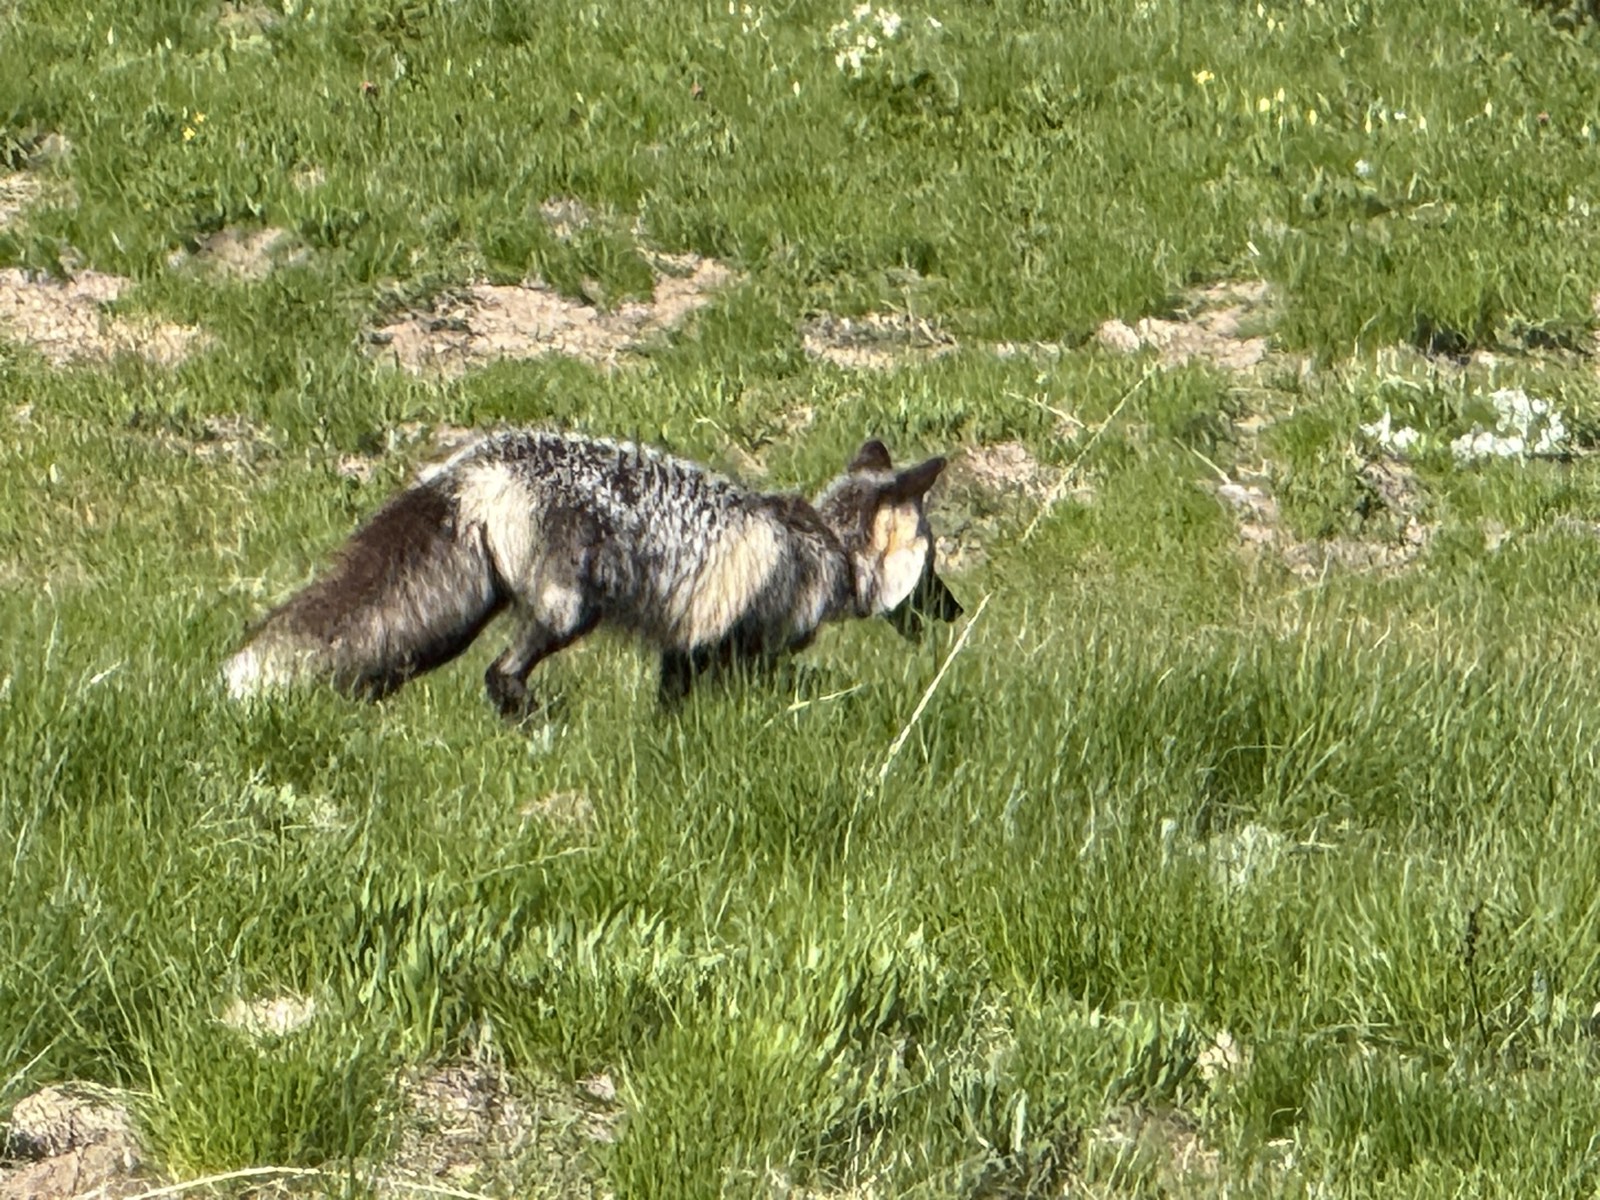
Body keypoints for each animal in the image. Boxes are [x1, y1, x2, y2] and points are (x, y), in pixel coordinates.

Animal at [221, 429, 963, 716]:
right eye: (935, 573)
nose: (957, 613)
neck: (824, 546)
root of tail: (477, 460)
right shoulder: (740, 650)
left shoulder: (684, 653)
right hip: (567, 613)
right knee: (499, 675)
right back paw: (537, 720)